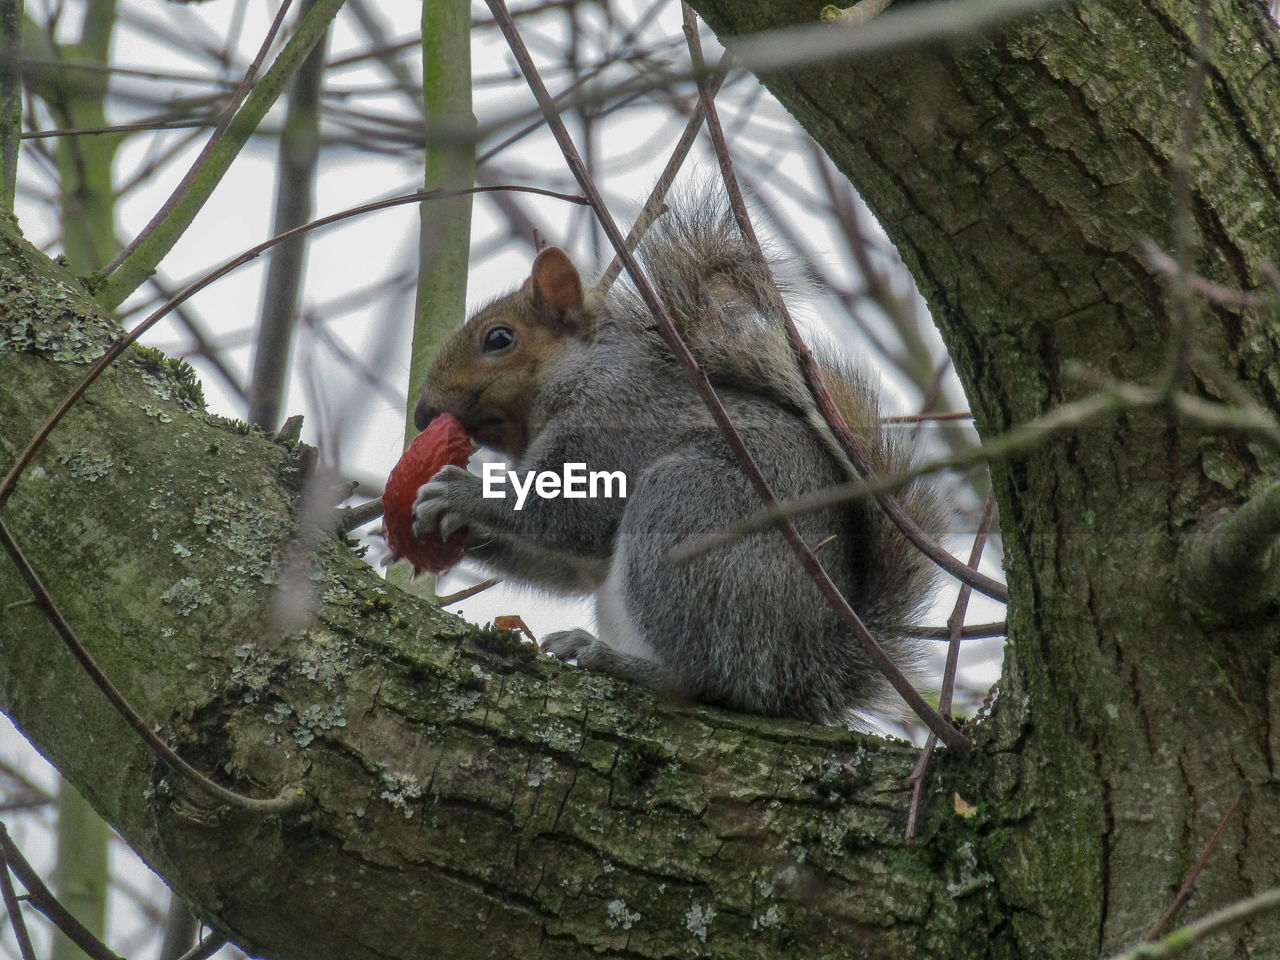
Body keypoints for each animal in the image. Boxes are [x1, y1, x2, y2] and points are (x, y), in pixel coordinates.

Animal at [409, 200, 942, 721]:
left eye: (499, 339)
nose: (421, 414)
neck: (582, 374)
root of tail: (806, 673)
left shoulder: (614, 422)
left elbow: (564, 514)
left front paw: (457, 491)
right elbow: (571, 563)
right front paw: (454, 533)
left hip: (686, 511)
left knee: (705, 680)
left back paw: (609, 657)